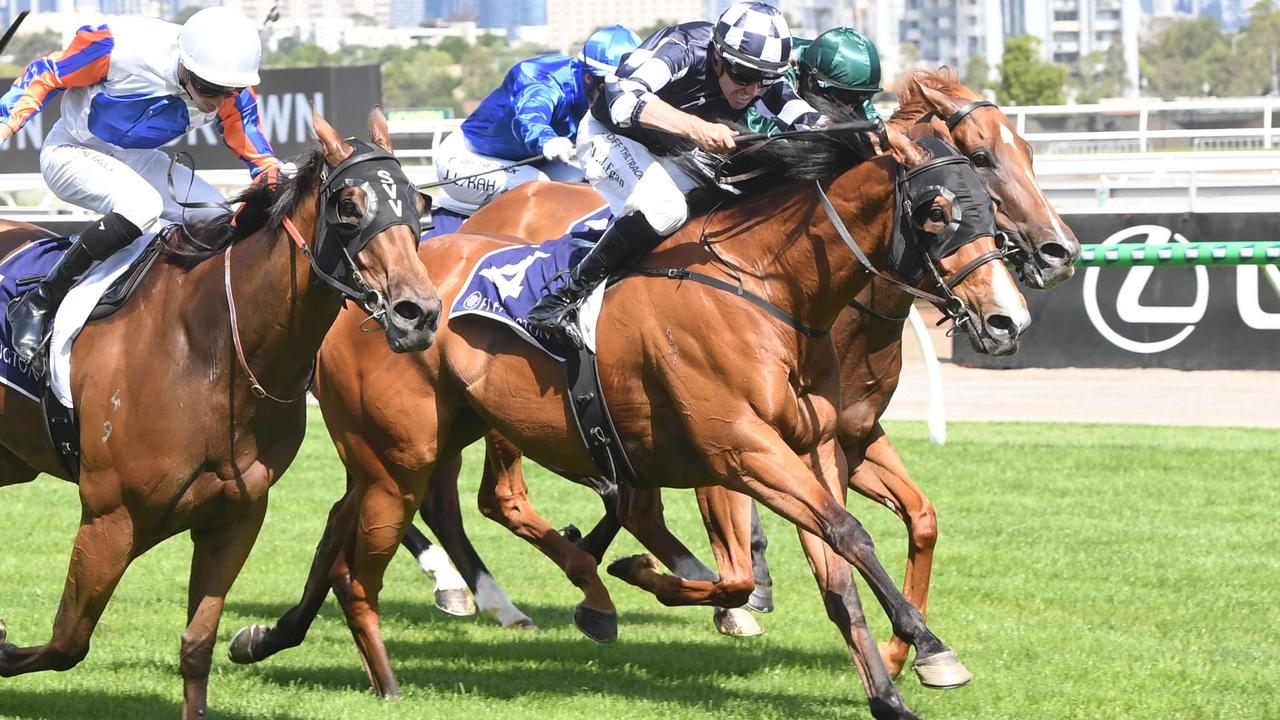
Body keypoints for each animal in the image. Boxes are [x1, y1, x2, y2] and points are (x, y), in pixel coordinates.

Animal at [0, 106, 440, 717]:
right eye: (349, 206)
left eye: (419, 202)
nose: (417, 313)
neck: (208, 350)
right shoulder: (111, 517)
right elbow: (68, 641)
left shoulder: (235, 515)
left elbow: (197, 644)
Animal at [230, 124, 1029, 717]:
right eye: (936, 210)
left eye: (989, 206)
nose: (1006, 318)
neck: (767, 288)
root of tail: (365, 295)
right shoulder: (740, 450)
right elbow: (814, 546)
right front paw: (924, 643)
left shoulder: (816, 450)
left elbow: (835, 569)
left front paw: (891, 688)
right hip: (400, 455)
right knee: (430, 519)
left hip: (409, 448)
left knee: (341, 529)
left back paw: (266, 638)